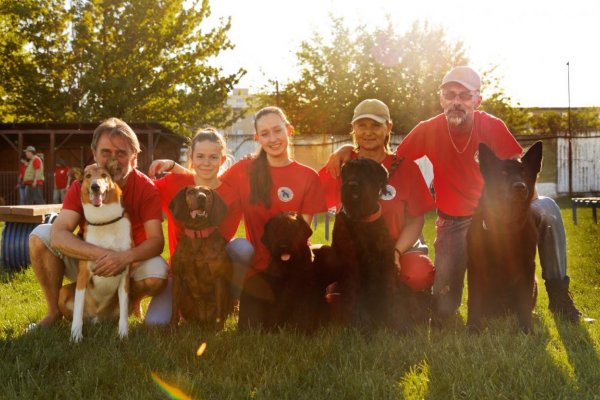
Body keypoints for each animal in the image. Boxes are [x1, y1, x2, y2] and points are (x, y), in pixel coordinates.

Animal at [59, 164, 132, 342]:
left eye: (104, 175)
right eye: (88, 176)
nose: (95, 186)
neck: (104, 221)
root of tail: (96, 318)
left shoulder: (125, 273)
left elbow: (124, 313)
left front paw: (123, 335)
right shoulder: (83, 274)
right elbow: (78, 309)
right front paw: (76, 336)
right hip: (63, 292)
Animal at [170, 184, 236, 328]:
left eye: (207, 192)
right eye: (191, 192)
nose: (202, 197)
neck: (198, 233)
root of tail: (204, 319)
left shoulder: (219, 277)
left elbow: (220, 307)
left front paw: (219, 329)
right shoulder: (177, 276)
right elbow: (174, 305)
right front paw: (172, 327)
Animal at [314, 158, 408, 332]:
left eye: (368, 170)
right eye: (347, 170)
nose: (352, 185)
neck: (362, 219)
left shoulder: (386, 262)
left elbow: (391, 291)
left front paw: (396, 322)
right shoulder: (351, 263)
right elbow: (354, 293)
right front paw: (360, 324)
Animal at [466, 142, 548, 332]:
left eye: (524, 173)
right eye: (502, 173)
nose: (520, 186)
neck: (505, 227)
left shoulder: (528, 267)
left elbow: (524, 301)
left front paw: (527, 329)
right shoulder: (475, 266)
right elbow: (474, 301)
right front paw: (473, 328)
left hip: (535, 282)